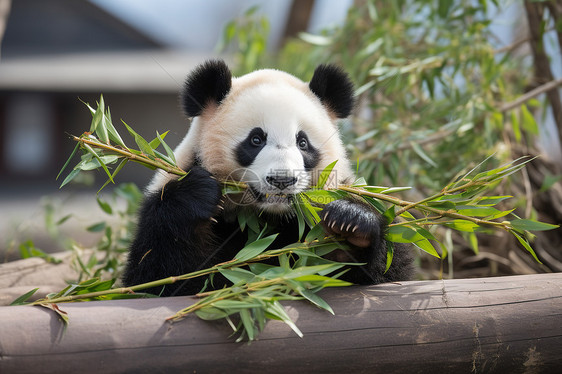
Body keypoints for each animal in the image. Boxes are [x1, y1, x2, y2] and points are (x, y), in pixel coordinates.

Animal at [122, 60, 412, 296]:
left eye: (303, 142)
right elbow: (158, 277)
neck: (268, 217)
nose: (282, 180)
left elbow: (389, 274)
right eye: (256, 139)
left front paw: (350, 223)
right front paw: (198, 193)